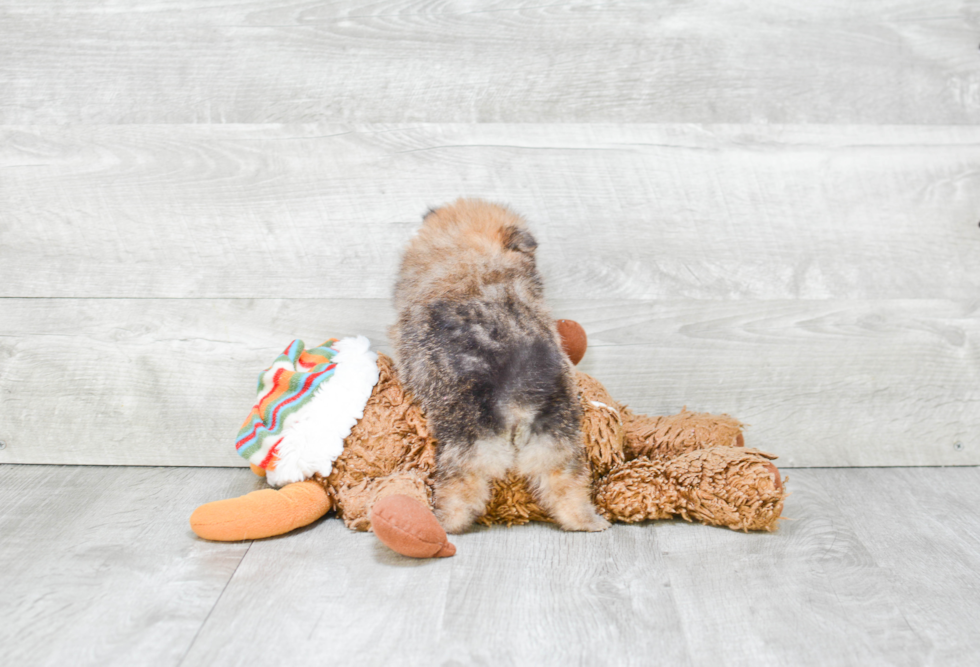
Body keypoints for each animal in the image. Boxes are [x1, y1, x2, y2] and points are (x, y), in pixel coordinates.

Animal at [388, 201, 604, 536]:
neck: (475, 264)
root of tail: (519, 400)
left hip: (467, 450)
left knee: (464, 493)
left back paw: (443, 522)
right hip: (560, 447)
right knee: (568, 489)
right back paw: (590, 522)